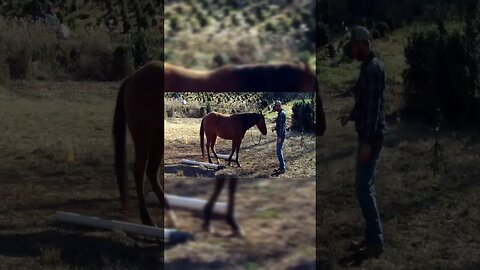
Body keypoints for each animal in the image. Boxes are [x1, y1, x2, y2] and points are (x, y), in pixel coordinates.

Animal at [113, 60, 326, 236]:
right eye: (312, 85)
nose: (321, 127)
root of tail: (134, 77)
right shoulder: (236, 139)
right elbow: (234, 153)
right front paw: (233, 163)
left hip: (160, 137)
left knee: (153, 171)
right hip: (145, 136)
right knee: (141, 171)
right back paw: (148, 219)